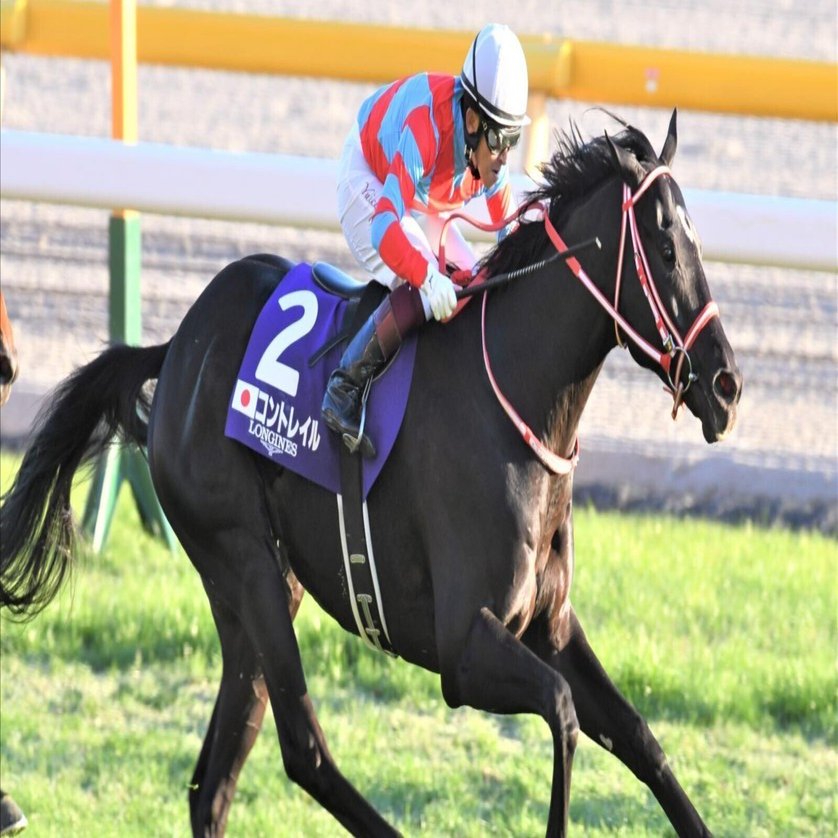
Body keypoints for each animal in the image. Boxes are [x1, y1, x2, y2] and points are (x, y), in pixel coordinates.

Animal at [0, 111, 741, 837]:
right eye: (668, 249)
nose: (728, 385)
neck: (513, 399)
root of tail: (177, 346)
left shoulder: (549, 627)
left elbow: (641, 737)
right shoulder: (461, 649)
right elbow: (561, 714)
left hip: (260, 591)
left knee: (214, 781)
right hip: (245, 561)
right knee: (304, 751)